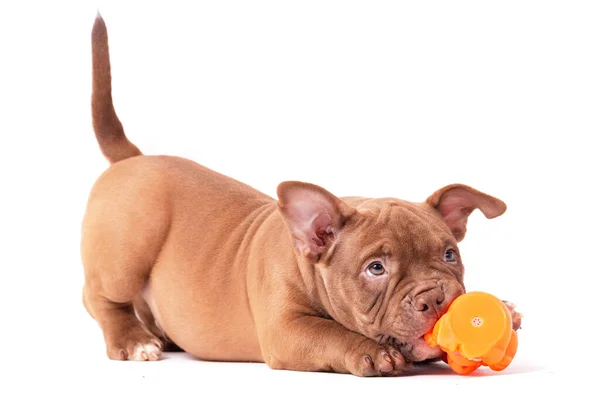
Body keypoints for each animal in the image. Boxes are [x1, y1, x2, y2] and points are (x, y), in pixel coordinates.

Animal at [81, 15, 520, 376]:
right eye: (375, 268)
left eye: (450, 255)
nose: (437, 299)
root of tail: (133, 159)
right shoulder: (286, 330)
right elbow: (329, 334)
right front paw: (370, 351)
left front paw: (508, 311)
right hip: (126, 251)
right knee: (100, 297)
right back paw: (134, 340)